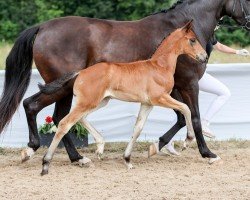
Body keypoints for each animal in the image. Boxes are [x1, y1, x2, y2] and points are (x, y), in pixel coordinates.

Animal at [40, 21, 207, 175]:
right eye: (192, 40)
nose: (204, 57)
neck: (159, 67)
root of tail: (80, 72)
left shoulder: (147, 104)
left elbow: (138, 128)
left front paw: (127, 160)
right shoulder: (159, 98)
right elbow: (186, 109)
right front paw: (188, 141)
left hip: (99, 102)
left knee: (80, 118)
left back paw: (100, 147)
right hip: (88, 102)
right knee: (65, 123)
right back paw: (46, 164)